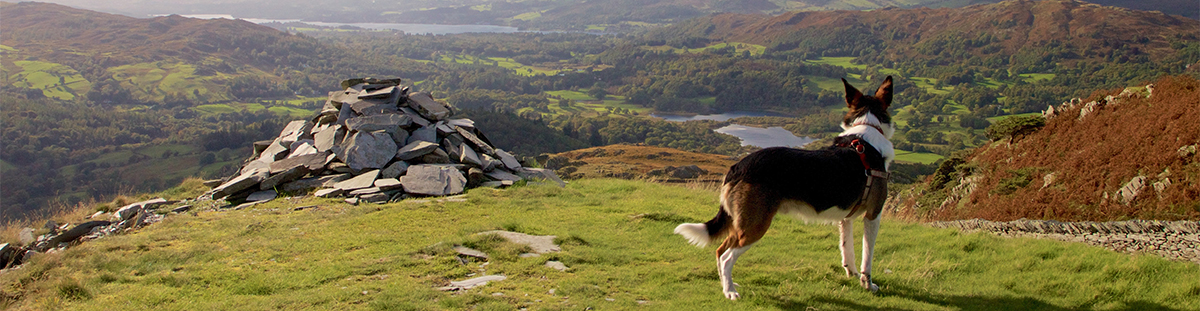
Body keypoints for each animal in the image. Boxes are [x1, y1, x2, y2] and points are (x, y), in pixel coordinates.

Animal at [672, 76, 897, 301]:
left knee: (720, 251)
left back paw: (727, 285)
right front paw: (868, 284)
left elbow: (847, 249)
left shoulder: (846, 217)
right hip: (756, 224)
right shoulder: (873, 215)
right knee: (727, 256)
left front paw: (852, 273)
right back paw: (730, 292)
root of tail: (738, 167)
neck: (867, 133)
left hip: (743, 222)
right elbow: (868, 255)